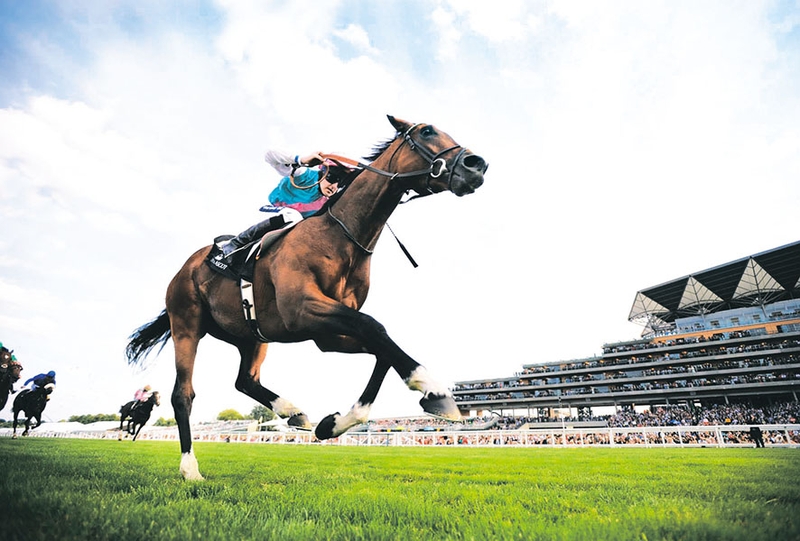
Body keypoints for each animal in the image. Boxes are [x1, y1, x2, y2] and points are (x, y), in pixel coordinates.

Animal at [126, 115, 487, 480]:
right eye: (427, 131)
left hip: (252, 335)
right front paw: (433, 389)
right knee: (182, 395)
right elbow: (375, 327)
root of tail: (185, 269)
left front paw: (335, 424)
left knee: (245, 380)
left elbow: (381, 347)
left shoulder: (326, 333)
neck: (341, 236)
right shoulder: (302, 312)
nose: (477, 164)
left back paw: (292, 411)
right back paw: (190, 468)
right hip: (187, 324)